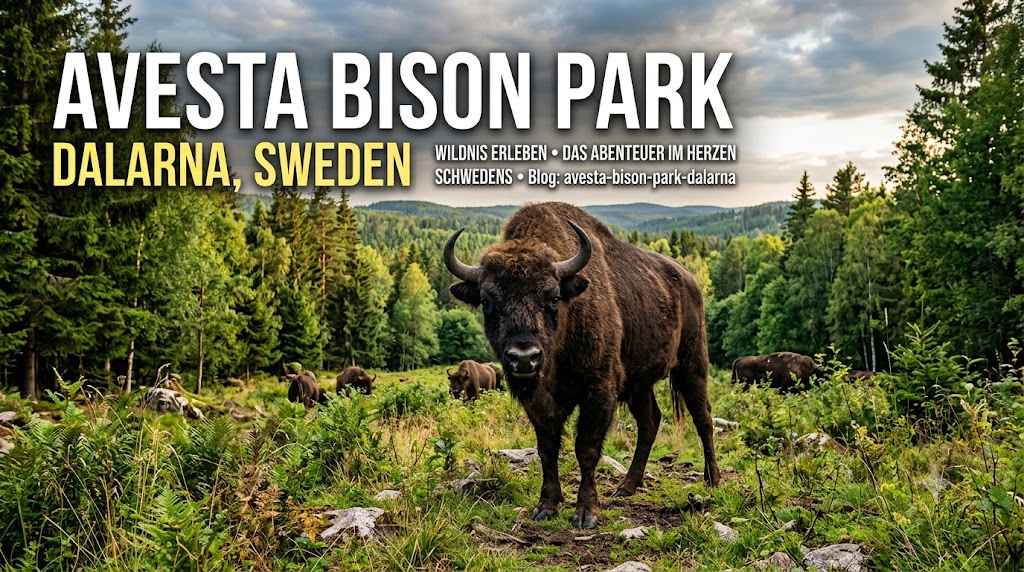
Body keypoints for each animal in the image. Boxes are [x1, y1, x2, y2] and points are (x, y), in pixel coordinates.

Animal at [444, 202, 719, 529]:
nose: (524, 357)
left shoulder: (599, 390)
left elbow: (586, 447)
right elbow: (547, 449)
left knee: (703, 418)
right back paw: (626, 487)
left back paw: (713, 480)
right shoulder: (539, 402)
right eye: (487, 301)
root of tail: (688, 279)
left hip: (692, 365)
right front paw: (546, 506)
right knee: (650, 422)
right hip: (639, 384)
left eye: (553, 297)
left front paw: (586, 513)